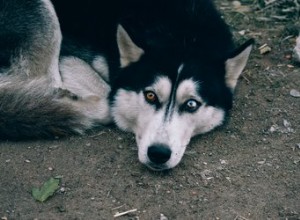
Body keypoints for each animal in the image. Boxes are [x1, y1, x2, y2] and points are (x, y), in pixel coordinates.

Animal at [0, 0, 253, 170]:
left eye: (192, 104)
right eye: (150, 96)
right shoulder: (68, 55)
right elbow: (110, 95)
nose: (158, 154)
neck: (182, 33)